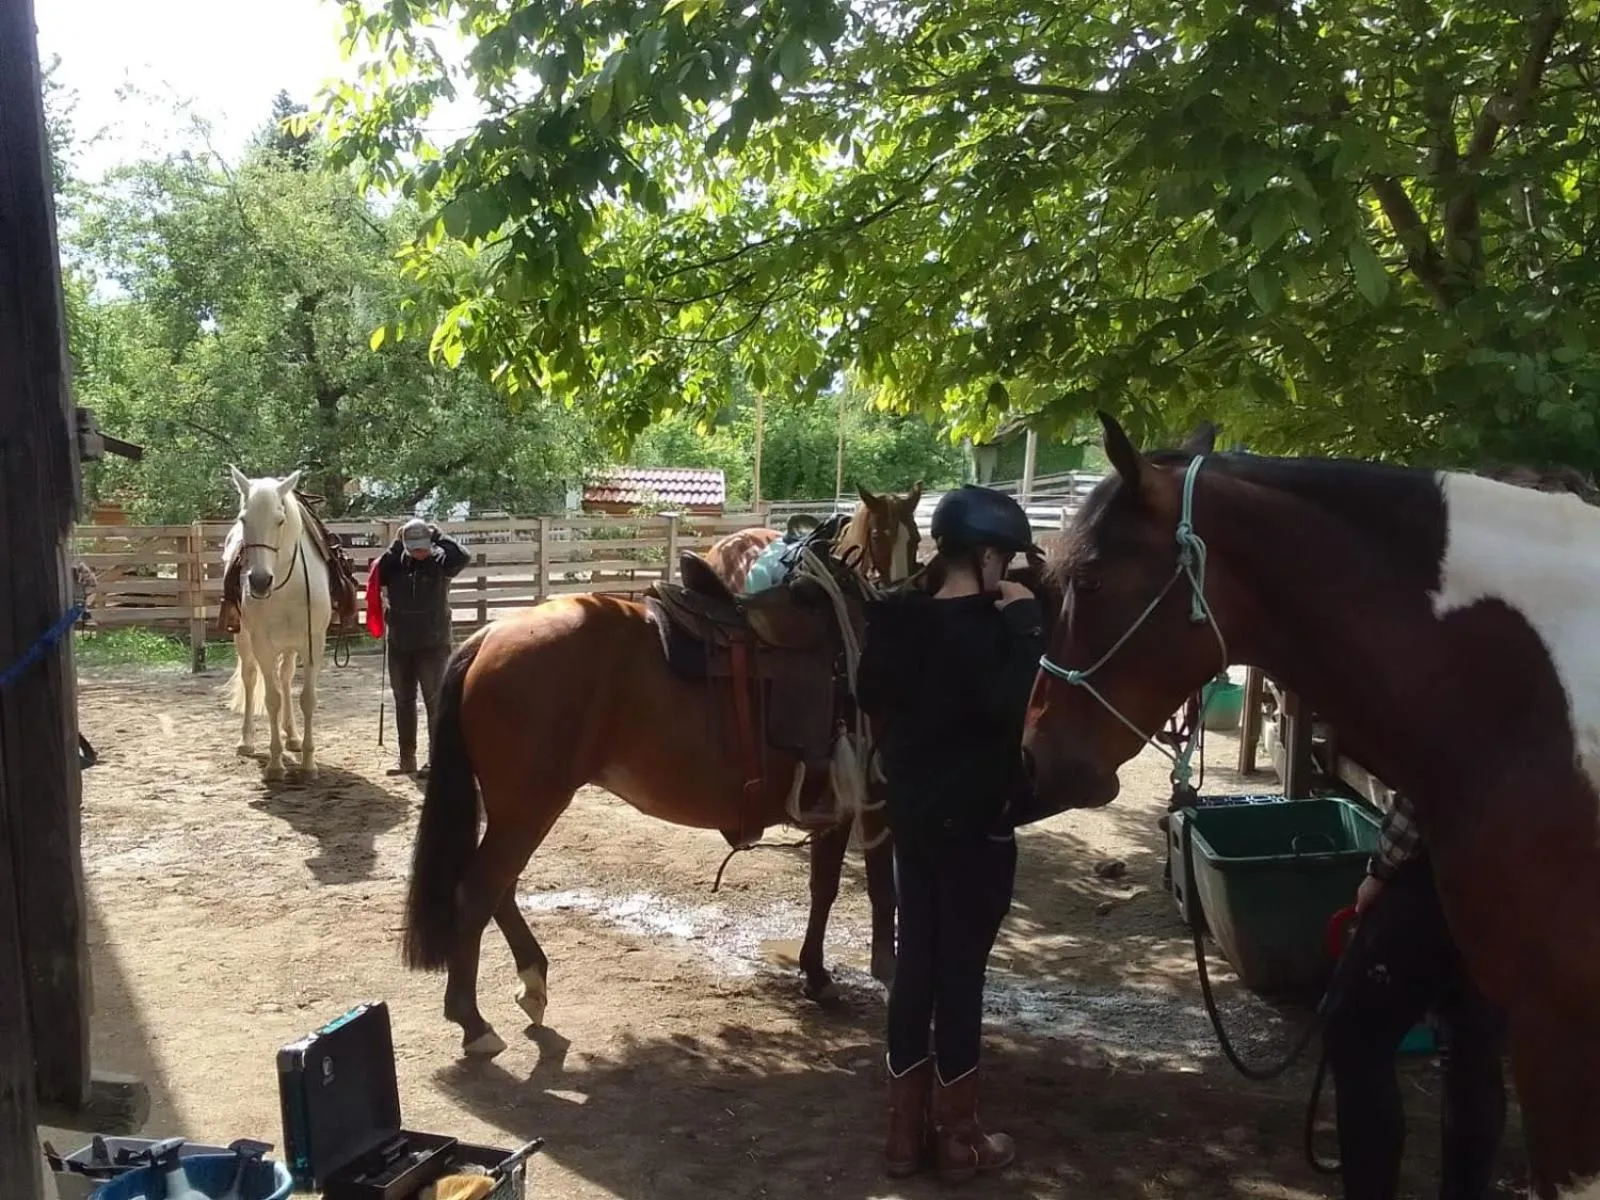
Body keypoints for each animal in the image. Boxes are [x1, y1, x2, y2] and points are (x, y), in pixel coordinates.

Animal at [223, 468, 334, 782]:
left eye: (280, 520)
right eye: (244, 519)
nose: (260, 581)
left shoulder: (313, 643)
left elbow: (307, 698)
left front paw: (308, 762)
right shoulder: (262, 644)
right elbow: (271, 699)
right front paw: (275, 764)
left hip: (291, 646)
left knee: (285, 679)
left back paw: (293, 737)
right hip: (245, 641)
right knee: (250, 679)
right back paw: (246, 740)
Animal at [401, 543, 888, 1056]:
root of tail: (489, 635)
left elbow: (839, 888)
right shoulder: (862, 805)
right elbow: (844, 889)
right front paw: (828, 974)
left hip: (516, 811)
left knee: (502, 889)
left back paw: (531, 983)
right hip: (528, 809)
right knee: (478, 891)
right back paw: (473, 1022)